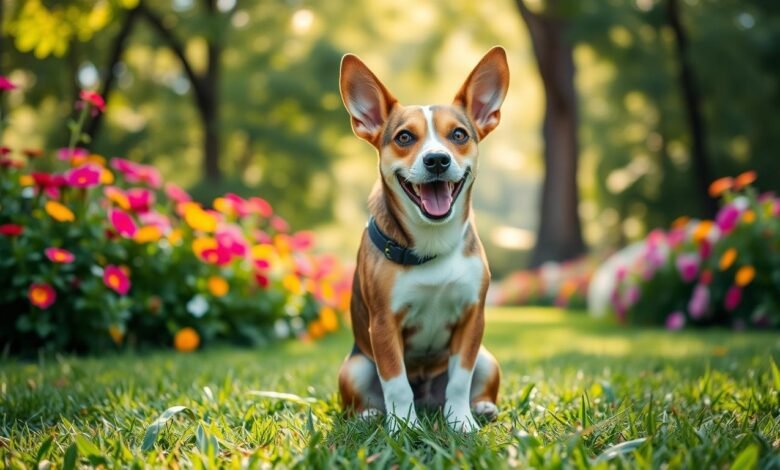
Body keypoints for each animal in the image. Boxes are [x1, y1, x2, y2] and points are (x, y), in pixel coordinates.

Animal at [336, 47, 508, 434]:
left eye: (458, 134)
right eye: (403, 137)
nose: (437, 160)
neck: (433, 244)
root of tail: (428, 396)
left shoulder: (472, 319)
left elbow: (459, 380)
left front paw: (461, 421)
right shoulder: (384, 325)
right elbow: (397, 384)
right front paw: (404, 427)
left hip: (488, 359)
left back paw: (481, 406)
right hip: (354, 367)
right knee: (365, 399)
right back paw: (371, 415)